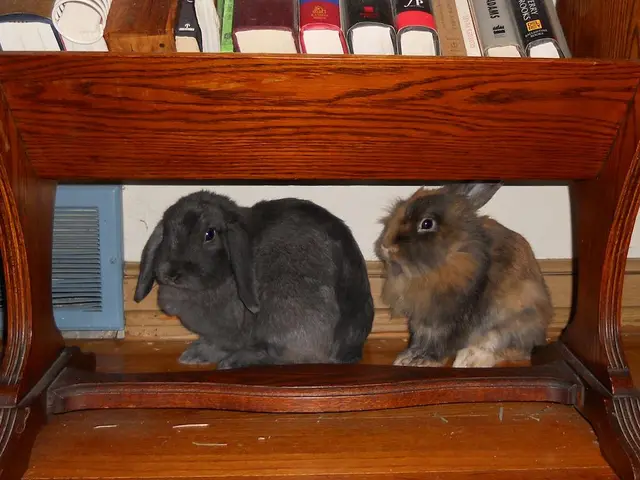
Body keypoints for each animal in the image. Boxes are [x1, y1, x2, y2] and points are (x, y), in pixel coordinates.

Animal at [133, 190, 374, 370]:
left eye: (210, 234)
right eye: (166, 233)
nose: (172, 273)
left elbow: (221, 343)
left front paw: (198, 354)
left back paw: (235, 361)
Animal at [374, 182, 553, 368]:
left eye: (427, 223)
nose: (386, 247)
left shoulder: (450, 317)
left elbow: (439, 342)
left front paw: (424, 360)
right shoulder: (421, 319)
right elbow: (420, 339)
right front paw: (407, 357)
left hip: (511, 320)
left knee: (509, 349)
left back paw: (468, 360)